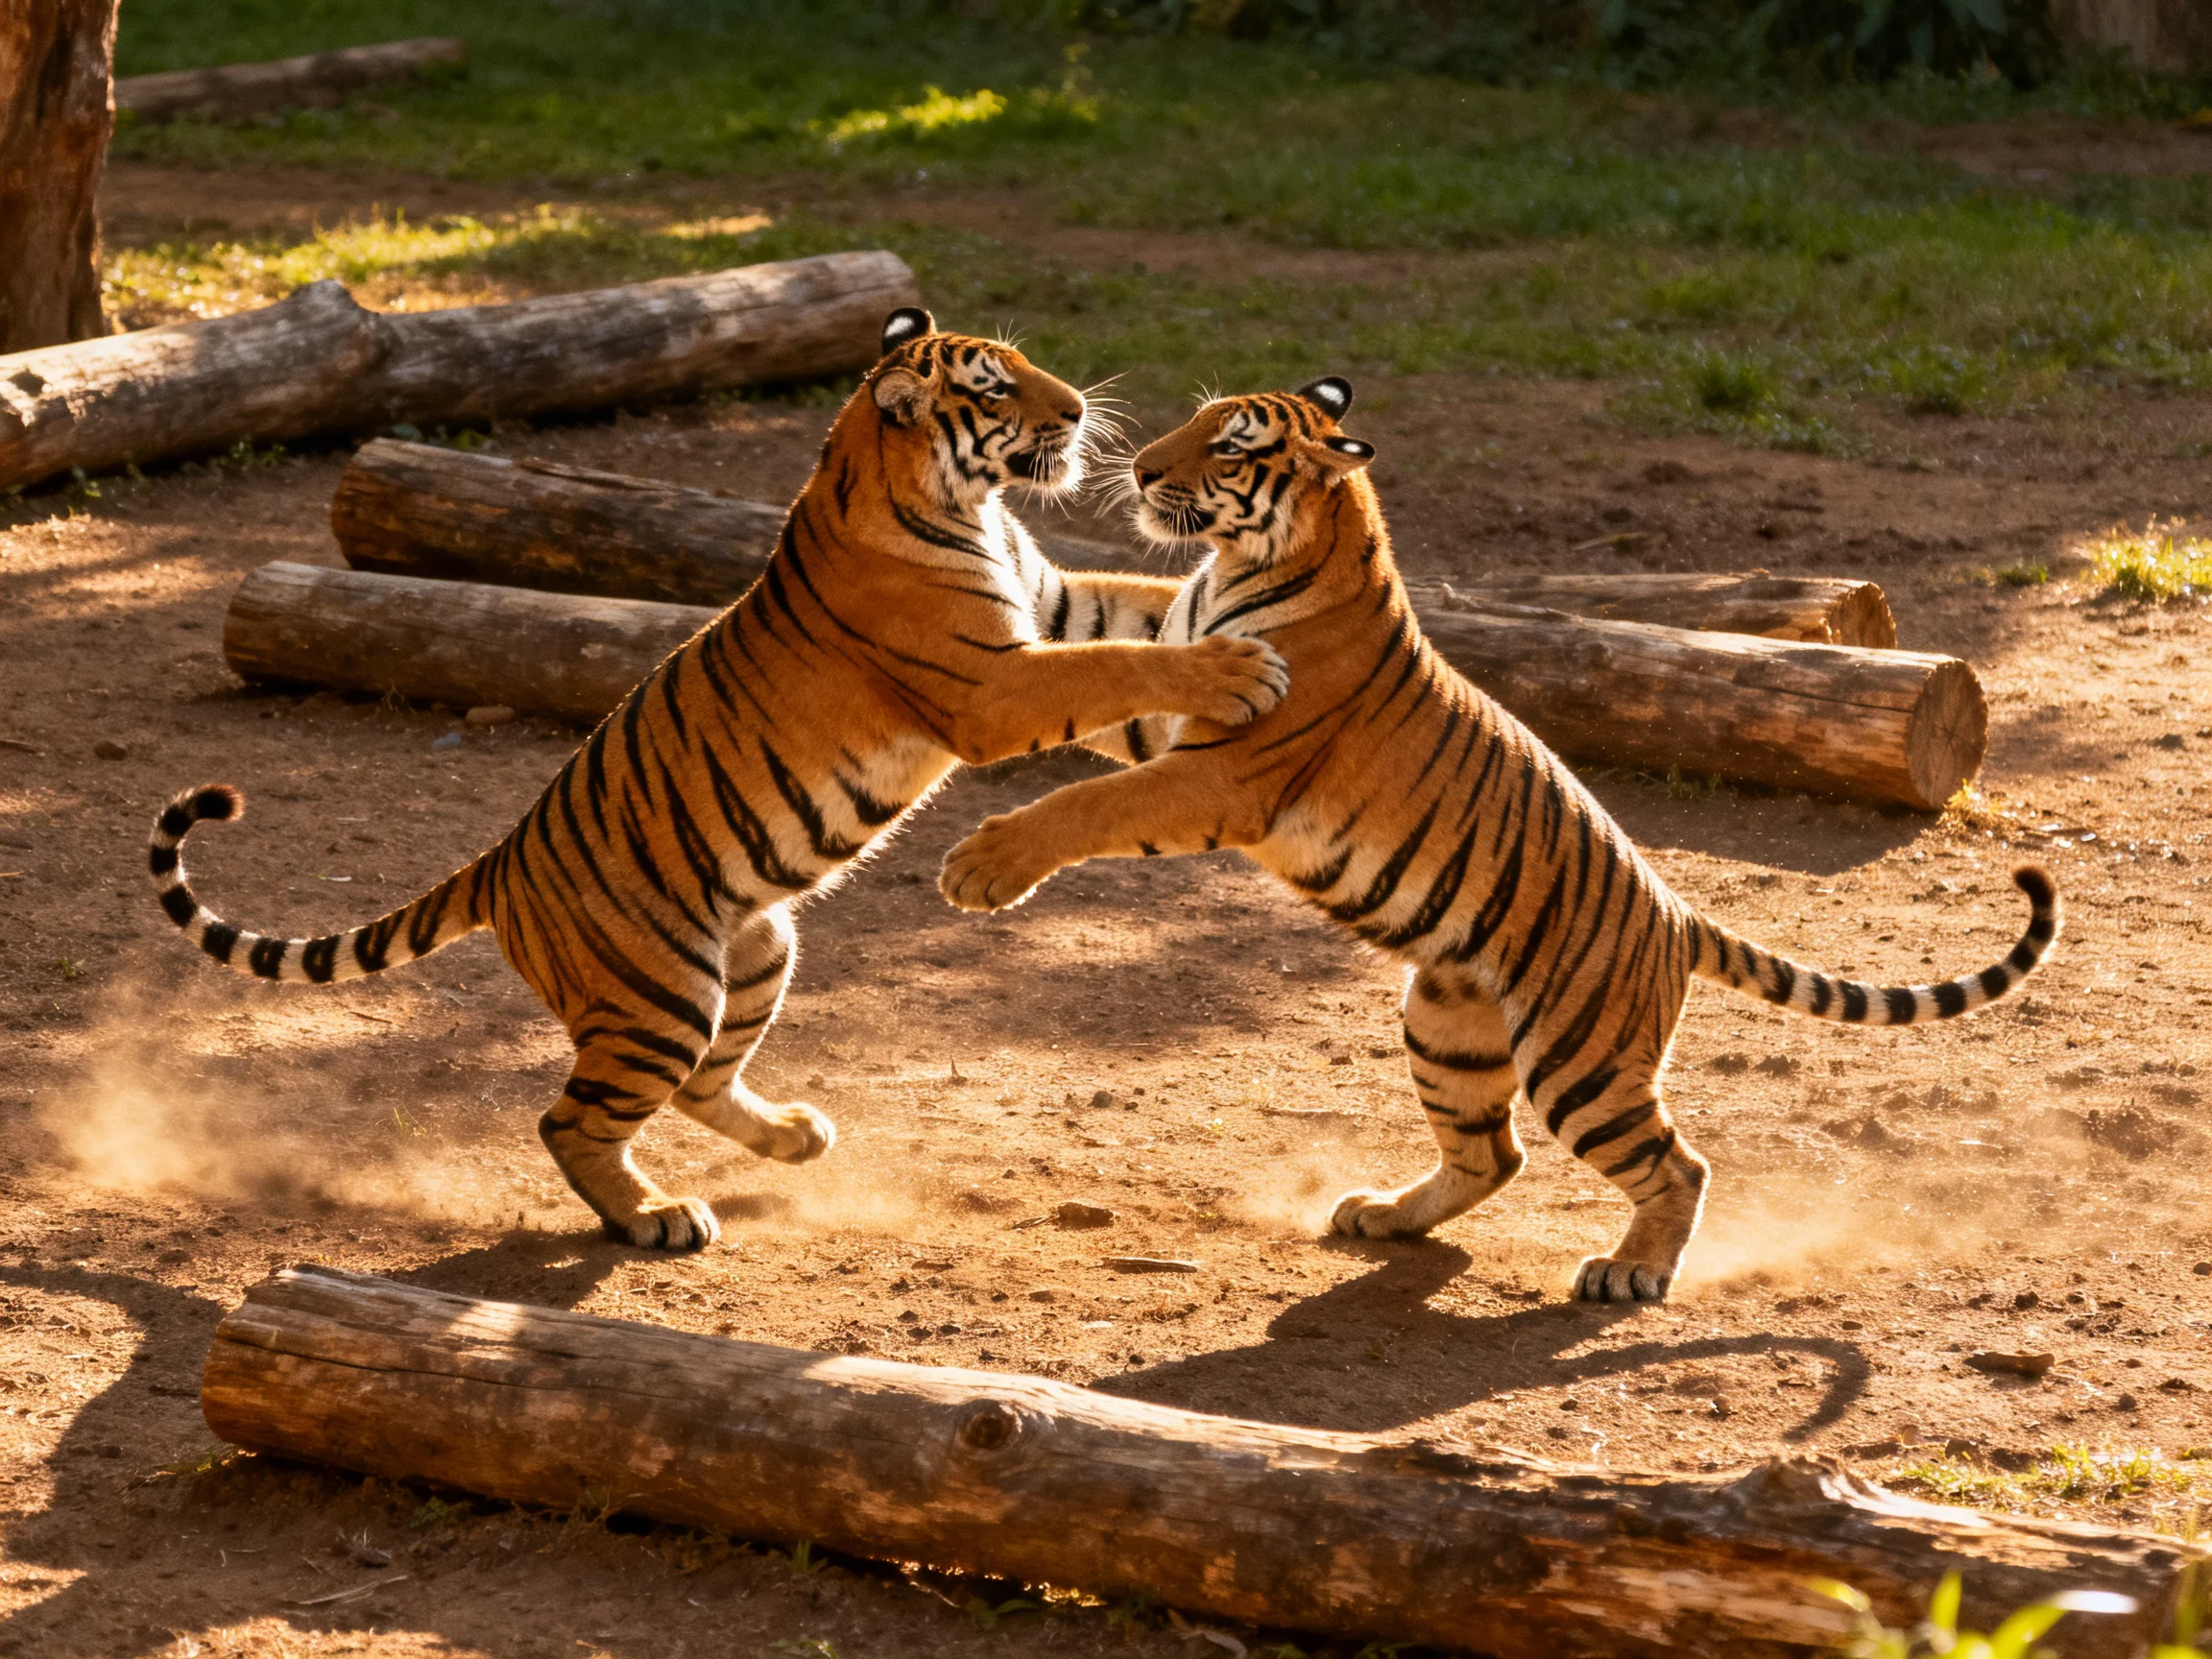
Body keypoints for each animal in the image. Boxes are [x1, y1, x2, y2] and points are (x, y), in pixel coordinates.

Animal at [147, 308, 1288, 1252]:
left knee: (699, 1086)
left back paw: (792, 1135)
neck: (953, 497)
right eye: (995, 387)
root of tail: (500, 863)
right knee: (569, 1118)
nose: (1081, 410)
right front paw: (1234, 669)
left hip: (756, 950)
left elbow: (1137, 616)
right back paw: (655, 1216)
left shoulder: (1051, 602)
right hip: (660, 994)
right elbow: (1119, 662)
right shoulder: (989, 683)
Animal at [939, 376, 2059, 1302]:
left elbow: (1089, 807)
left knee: (1675, 1162)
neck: (1239, 567)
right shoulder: (1169, 699)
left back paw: (1630, 1272)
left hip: (1582, 1058)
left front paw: (982, 866)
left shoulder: (1221, 772)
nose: (1139, 469)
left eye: (1230, 445)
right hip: (1446, 1020)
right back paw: (1385, 1216)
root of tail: (1676, 914)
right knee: (1495, 1154)